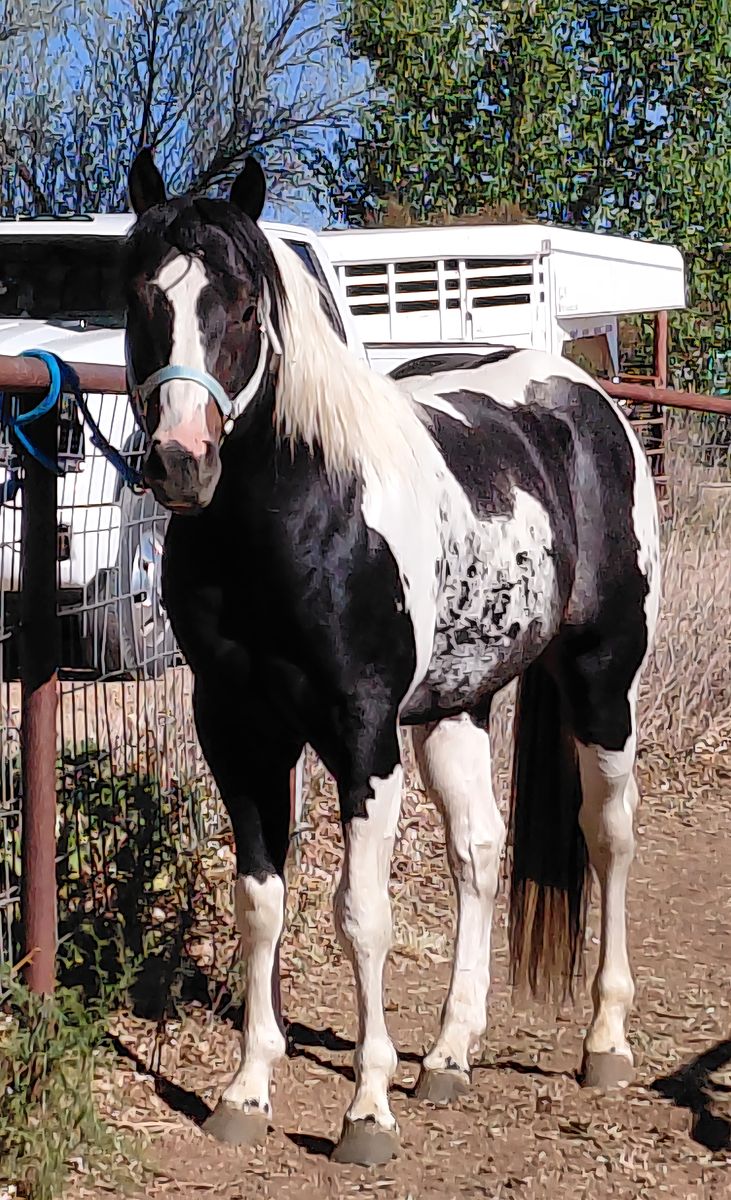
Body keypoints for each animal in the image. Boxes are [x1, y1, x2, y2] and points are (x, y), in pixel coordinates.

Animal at [122, 148, 661, 1167]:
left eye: (243, 306)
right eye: (140, 297)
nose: (181, 460)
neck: (300, 518)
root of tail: (583, 400)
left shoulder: (360, 734)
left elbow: (358, 916)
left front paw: (365, 1109)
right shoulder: (237, 731)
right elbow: (262, 903)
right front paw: (245, 1091)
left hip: (602, 676)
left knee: (608, 835)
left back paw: (605, 1039)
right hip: (455, 706)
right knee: (478, 851)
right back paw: (448, 1054)